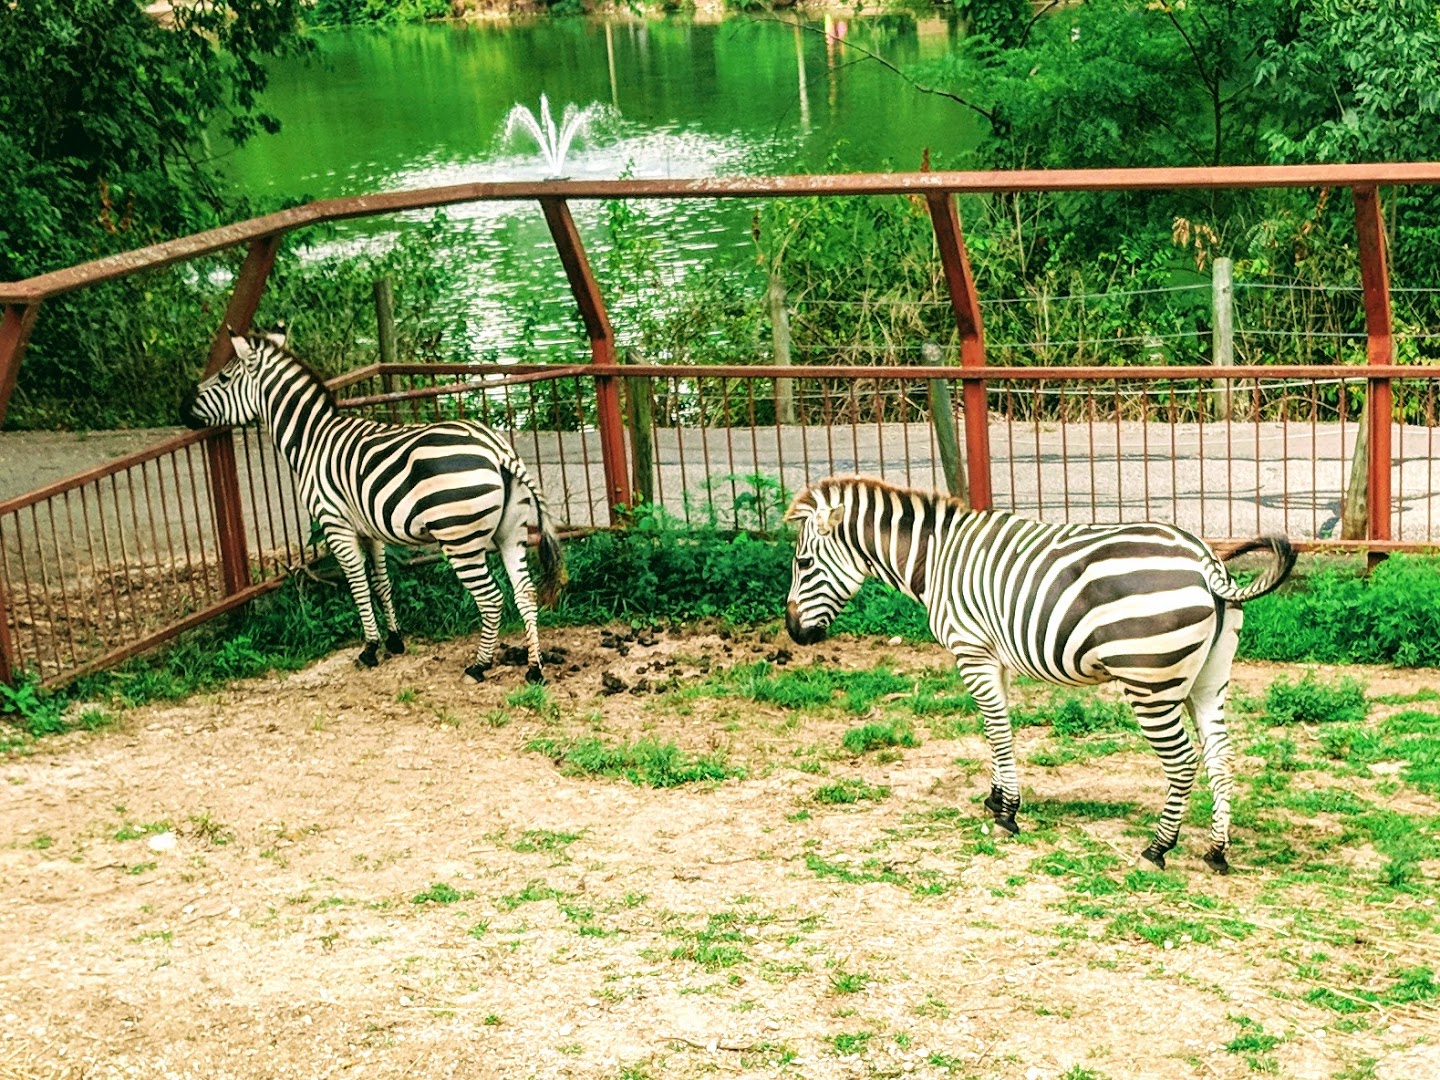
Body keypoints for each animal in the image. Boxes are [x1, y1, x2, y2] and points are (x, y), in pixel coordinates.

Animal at [181, 330, 566, 684]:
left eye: (224, 378)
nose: (183, 407)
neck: (311, 440)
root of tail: (497, 449)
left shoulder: (335, 524)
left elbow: (358, 585)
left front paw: (369, 648)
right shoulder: (371, 529)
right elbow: (382, 583)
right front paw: (394, 640)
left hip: (459, 538)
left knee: (491, 599)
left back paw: (480, 665)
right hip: (510, 532)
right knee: (525, 593)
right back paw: (534, 668)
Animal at [783, 476, 1295, 873]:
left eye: (803, 564)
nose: (793, 633)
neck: (937, 560)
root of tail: (1205, 560)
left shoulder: (971, 650)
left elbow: (997, 729)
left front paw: (1007, 813)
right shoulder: (994, 657)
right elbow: (996, 728)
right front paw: (996, 797)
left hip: (1149, 683)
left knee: (1184, 761)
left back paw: (1157, 848)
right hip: (1208, 680)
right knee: (1221, 757)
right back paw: (1216, 850)